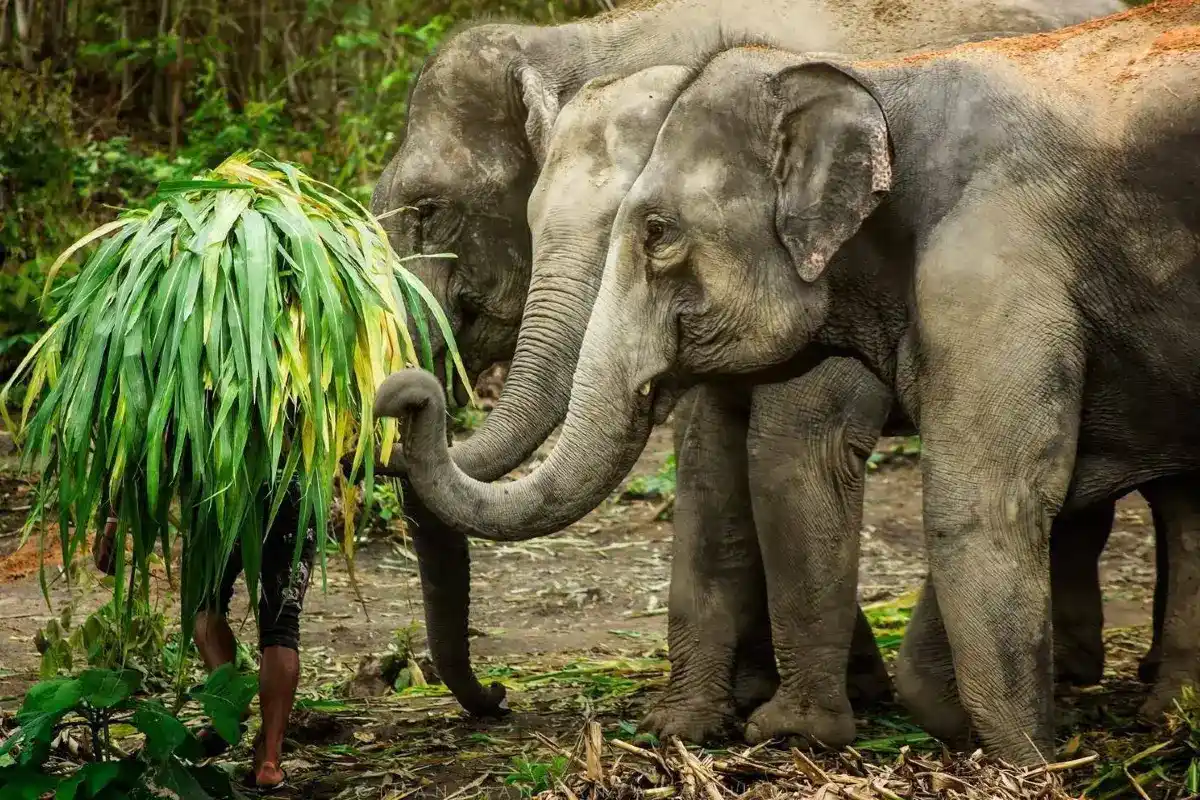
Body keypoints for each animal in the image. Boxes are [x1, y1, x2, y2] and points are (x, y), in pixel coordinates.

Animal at [372, 0, 1200, 764]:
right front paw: (692, 724)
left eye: (431, 211)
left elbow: (787, 450)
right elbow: (709, 463)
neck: (599, 38)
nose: (496, 696)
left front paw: (795, 727)